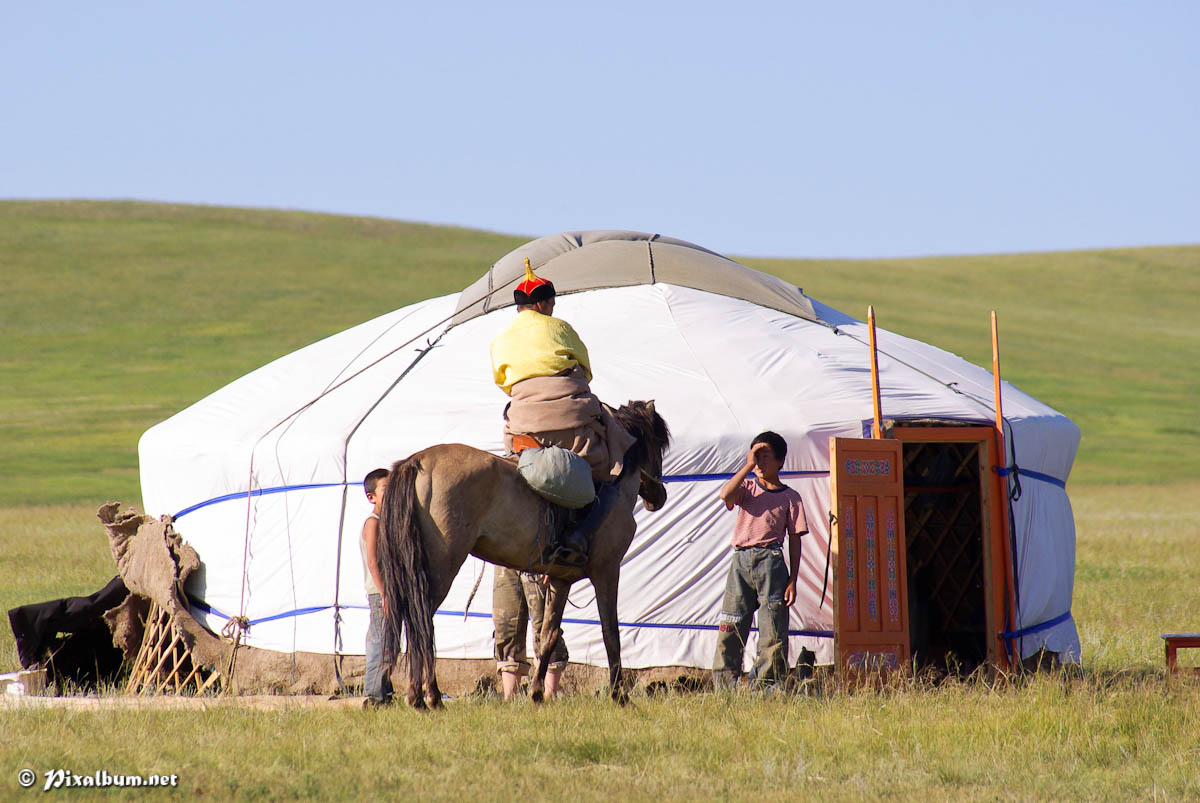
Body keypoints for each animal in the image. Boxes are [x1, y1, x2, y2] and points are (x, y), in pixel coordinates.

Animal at [379, 398, 672, 705]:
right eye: (658, 445)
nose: (658, 497)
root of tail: (417, 461)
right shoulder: (607, 571)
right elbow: (610, 632)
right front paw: (619, 696)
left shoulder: (561, 579)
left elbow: (549, 634)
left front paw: (536, 693)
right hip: (439, 568)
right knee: (422, 623)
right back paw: (431, 697)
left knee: (415, 624)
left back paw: (418, 698)